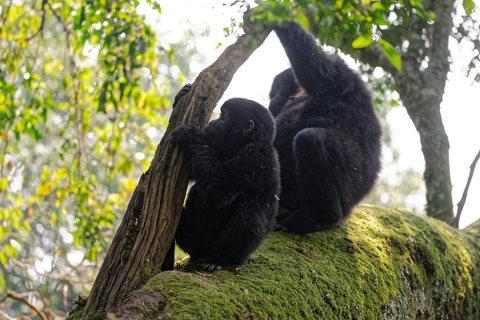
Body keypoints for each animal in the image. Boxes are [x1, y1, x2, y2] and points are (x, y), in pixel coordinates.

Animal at [171, 97, 280, 270]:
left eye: (223, 116)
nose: (212, 121)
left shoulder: (254, 156)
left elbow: (220, 190)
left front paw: (188, 135)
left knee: (250, 212)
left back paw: (222, 259)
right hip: (197, 245)